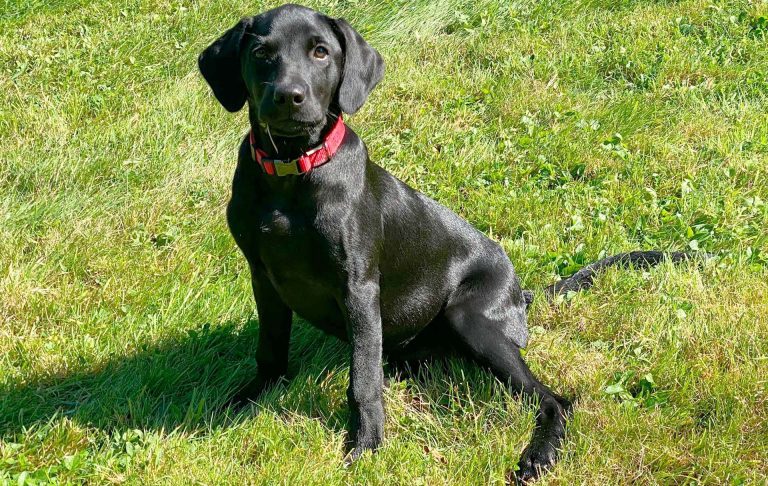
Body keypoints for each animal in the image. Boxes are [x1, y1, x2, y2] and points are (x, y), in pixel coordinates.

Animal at [198, 4, 688, 482]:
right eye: (261, 53)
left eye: (321, 52)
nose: (288, 96)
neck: (292, 174)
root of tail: (520, 294)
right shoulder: (264, 277)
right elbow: (270, 350)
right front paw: (244, 400)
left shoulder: (358, 287)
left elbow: (362, 380)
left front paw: (366, 443)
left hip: (469, 317)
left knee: (553, 398)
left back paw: (539, 454)